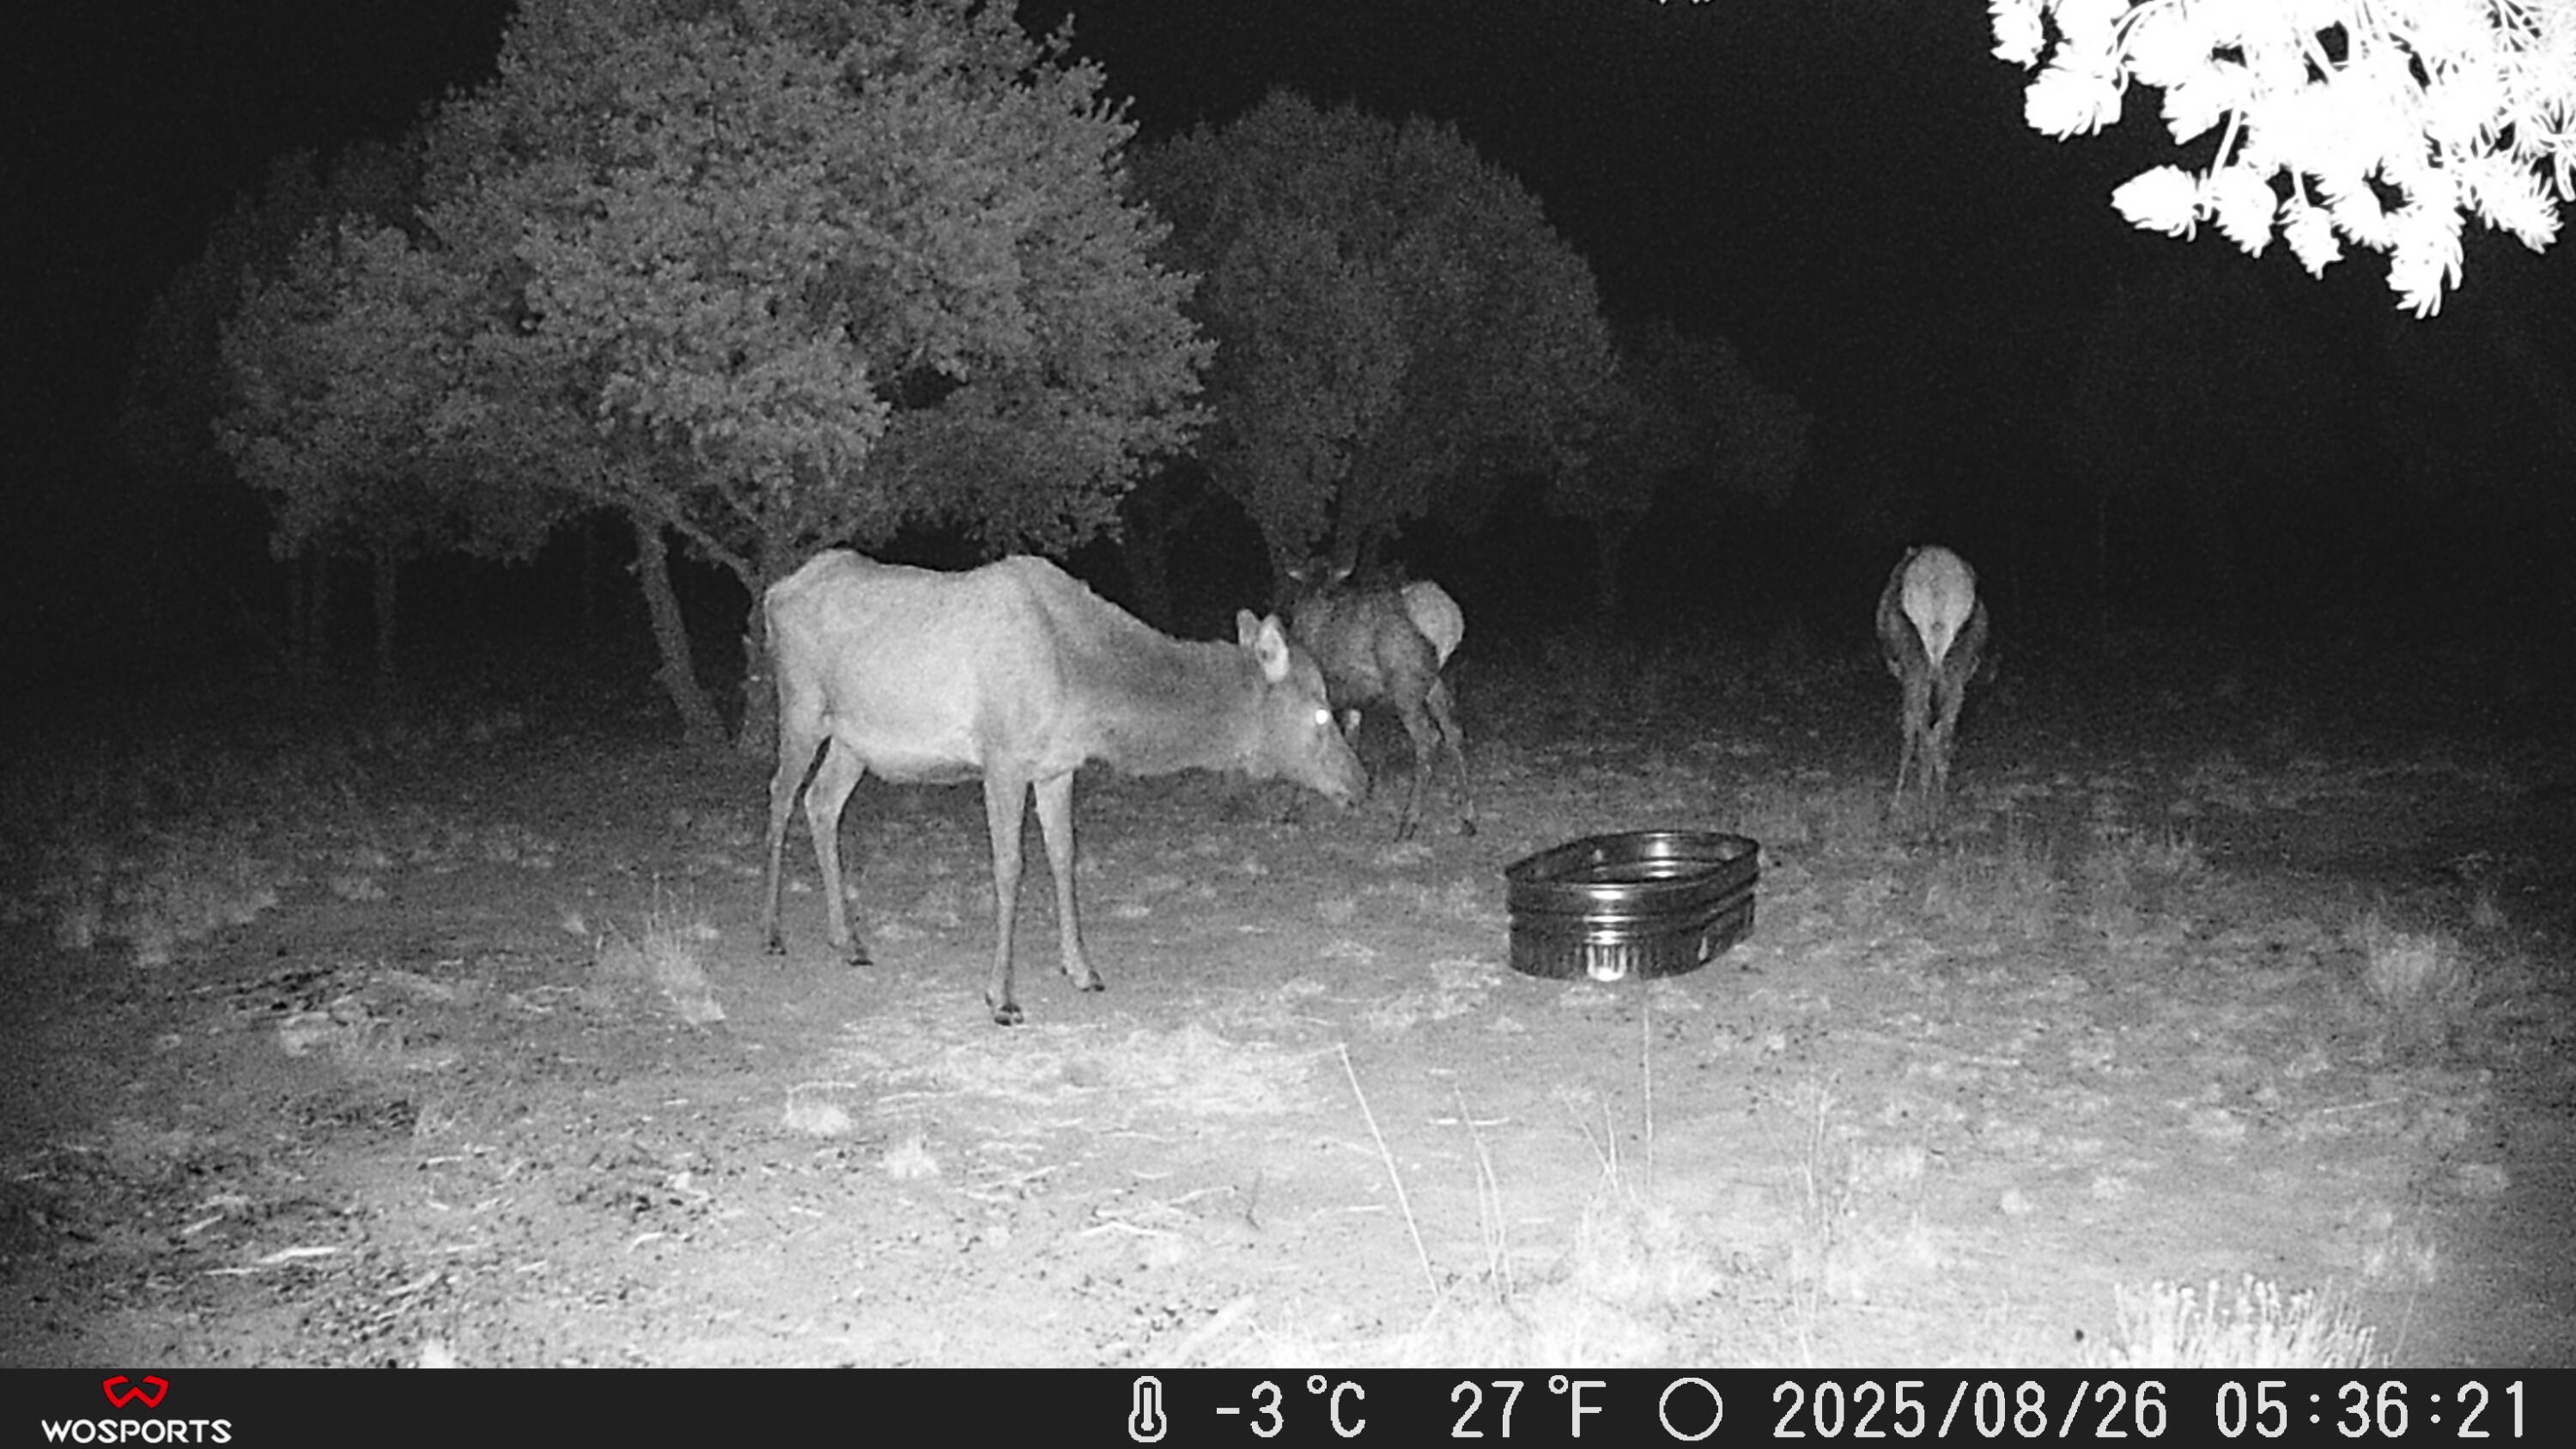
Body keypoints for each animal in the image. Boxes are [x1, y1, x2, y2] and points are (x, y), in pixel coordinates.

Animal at [760, 549, 1367, 1025]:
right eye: (1320, 714)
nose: (1360, 781)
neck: (1086, 686)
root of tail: (774, 591)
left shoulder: (1057, 767)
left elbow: (1063, 856)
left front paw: (1082, 968)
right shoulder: (1002, 757)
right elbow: (1010, 868)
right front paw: (1002, 997)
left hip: (855, 739)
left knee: (822, 803)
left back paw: (848, 940)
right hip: (801, 706)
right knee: (781, 796)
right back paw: (772, 933)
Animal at [1280, 558, 1477, 841]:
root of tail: (1448, 621)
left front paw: (1294, 808)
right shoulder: (1352, 698)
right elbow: (1351, 738)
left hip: (1406, 687)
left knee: (1428, 738)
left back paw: (1408, 822)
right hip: (1434, 682)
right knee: (1453, 731)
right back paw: (1467, 818)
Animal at [1875, 544, 1990, 834]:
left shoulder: (1902, 671)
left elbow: (1910, 733)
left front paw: (1897, 805)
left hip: (1915, 662)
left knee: (1921, 731)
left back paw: (1921, 809)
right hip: (1957, 662)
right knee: (1944, 733)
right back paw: (1938, 809)